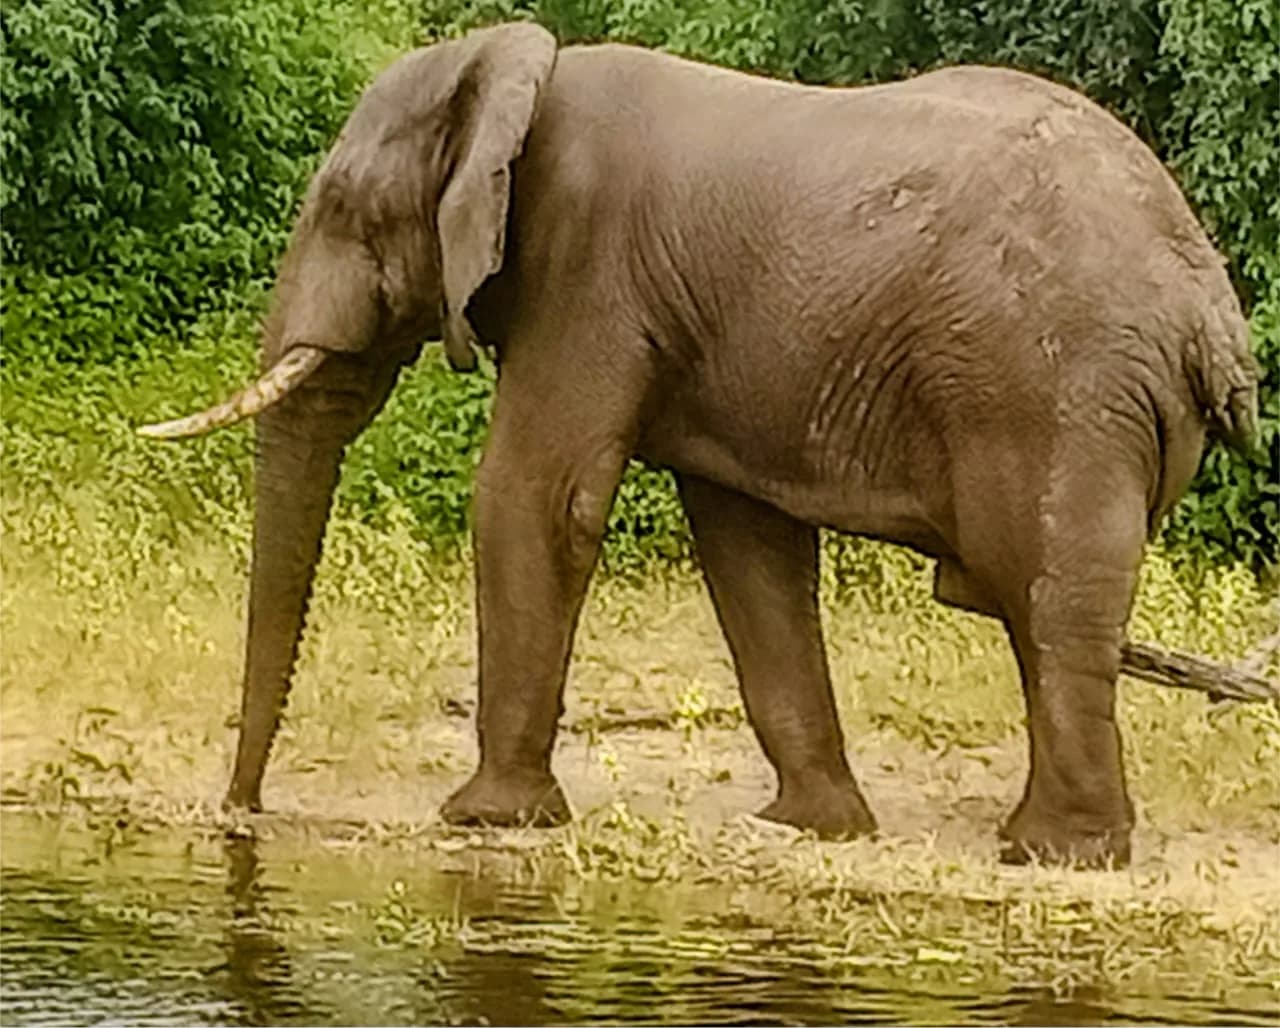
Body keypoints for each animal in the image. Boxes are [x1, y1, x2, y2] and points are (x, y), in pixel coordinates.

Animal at [141, 23, 1258, 868]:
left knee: (1048, 595)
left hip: (1057, 393)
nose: (243, 814)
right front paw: (812, 827)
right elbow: (744, 542)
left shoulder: (585, 268)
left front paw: (483, 818)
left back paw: (1053, 852)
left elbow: (534, 496)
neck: (510, 69)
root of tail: (1210, 311)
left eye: (346, 210)